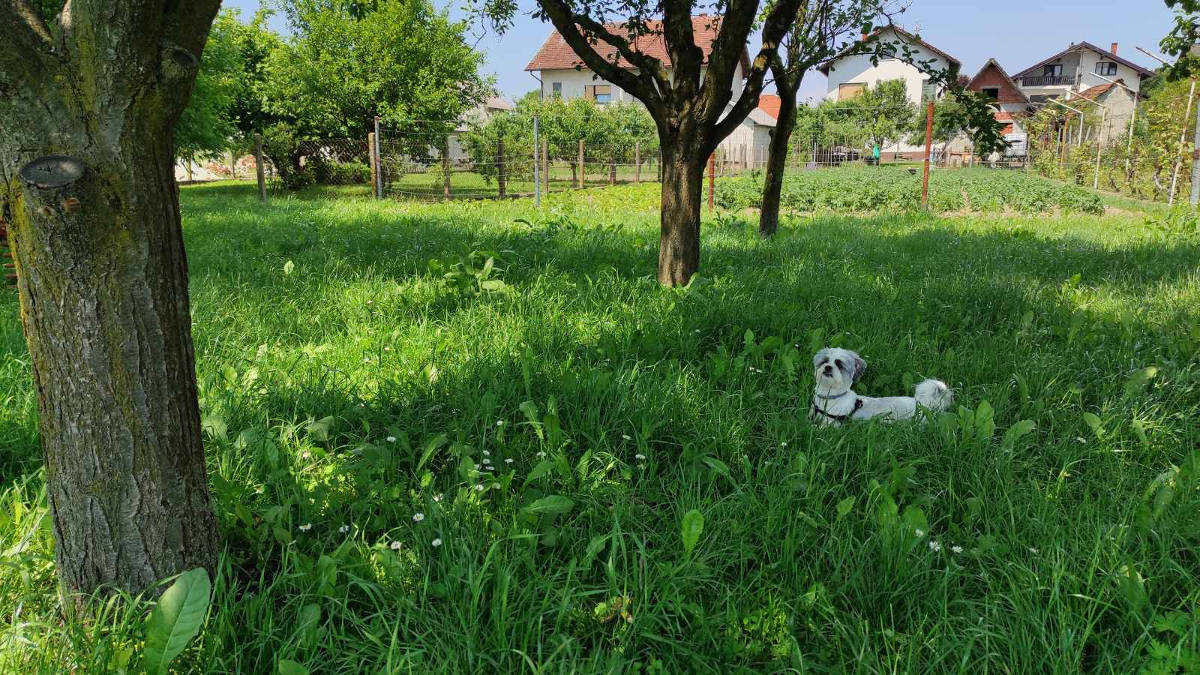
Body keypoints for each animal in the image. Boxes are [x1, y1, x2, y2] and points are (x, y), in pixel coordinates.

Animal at [811, 345, 950, 425]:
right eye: (824, 361)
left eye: (839, 365)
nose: (828, 367)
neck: (830, 397)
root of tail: (925, 405)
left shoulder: (832, 423)